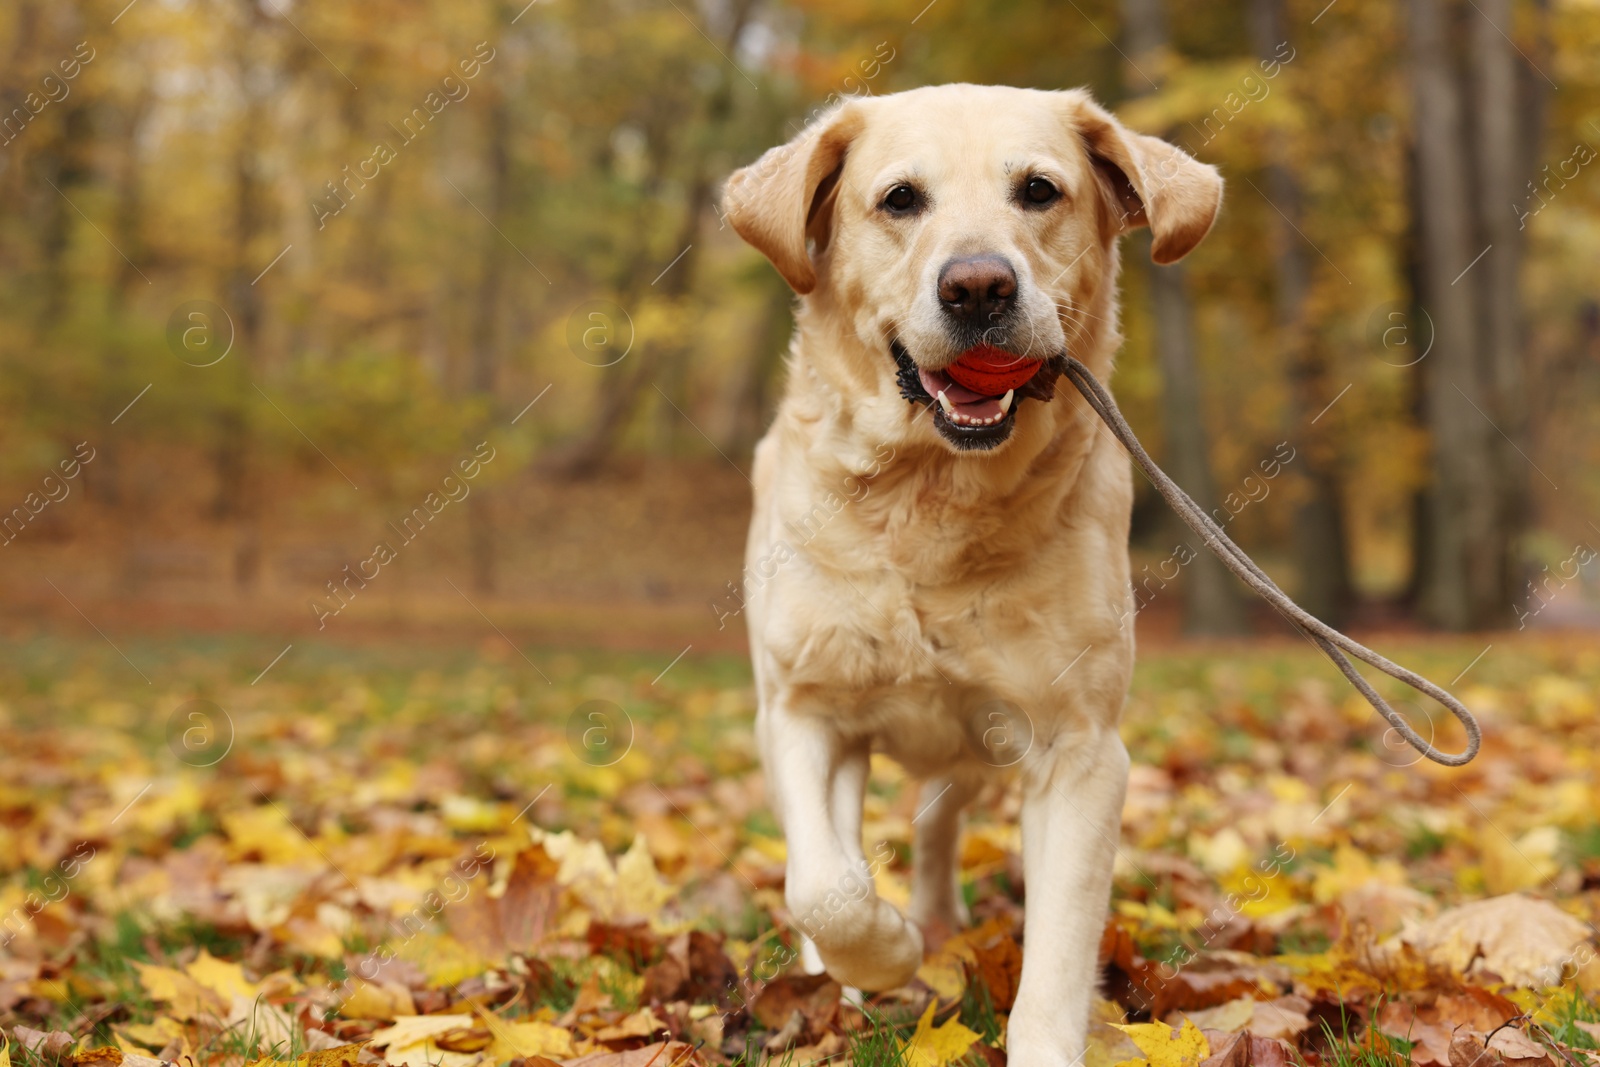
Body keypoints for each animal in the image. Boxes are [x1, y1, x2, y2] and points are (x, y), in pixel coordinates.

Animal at [720, 85, 1216, 1067]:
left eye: (1039, 190)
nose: (979, 286)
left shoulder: (1079, 748)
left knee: (935, 819)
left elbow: (1057, 957)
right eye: (900, 199)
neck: (932, 500)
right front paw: (884, 953)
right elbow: (824, 885)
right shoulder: (802, 708)